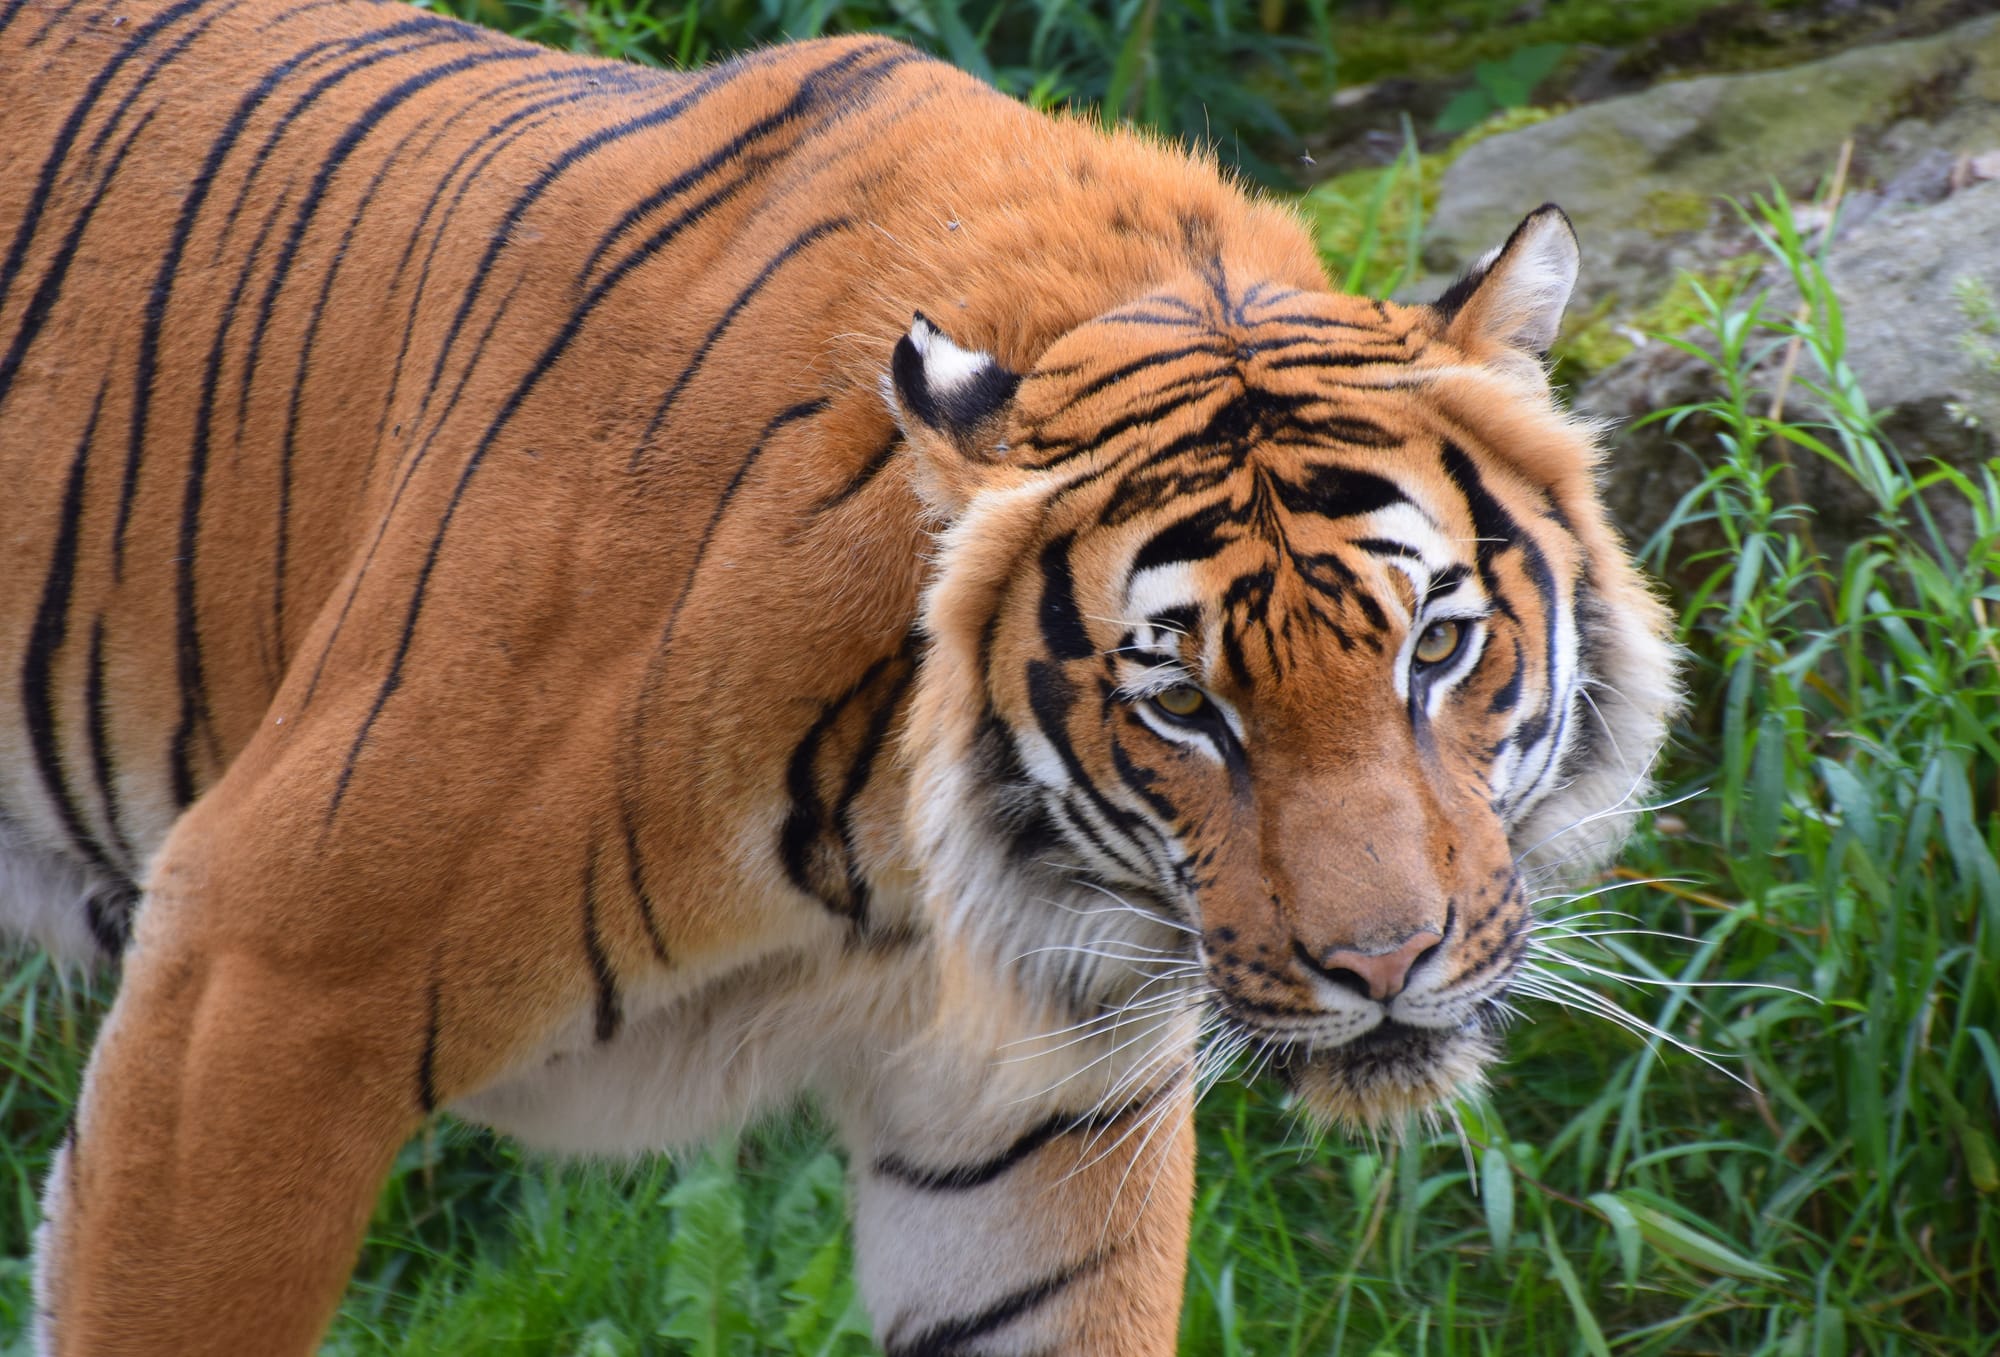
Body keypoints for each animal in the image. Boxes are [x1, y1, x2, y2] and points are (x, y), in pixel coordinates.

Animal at [0, 0, 1688, 1352]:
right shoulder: (254, 986)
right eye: (1183, 705)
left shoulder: (1035, 1120)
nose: (1385, 967)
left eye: (1436, 647)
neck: (909, 875)